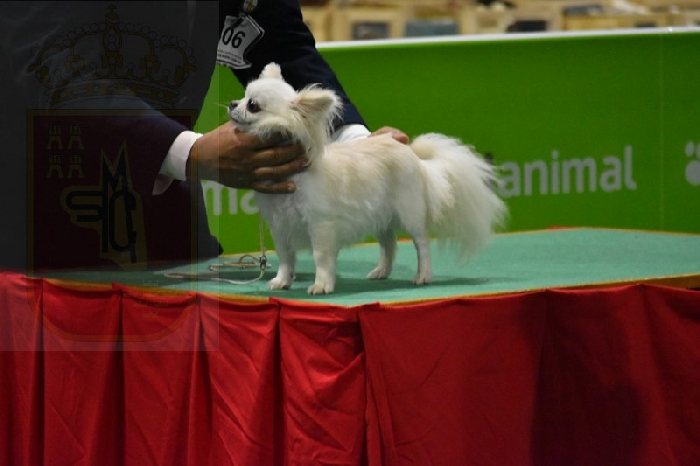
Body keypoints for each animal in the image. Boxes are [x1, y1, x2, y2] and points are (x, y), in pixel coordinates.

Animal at [228, 63, 507, 294]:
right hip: (381, 216)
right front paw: (283, 281)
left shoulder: (321, 225)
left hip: (410, 214)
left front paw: (321, 285)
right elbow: (287, 258)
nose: (232, 103)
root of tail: (412, 153)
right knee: (389, 245)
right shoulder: (280, 227)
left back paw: (423, 276)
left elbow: (320, 257)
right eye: (243, 96)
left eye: (253, 105)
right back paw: (382, 271)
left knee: (421, 244)